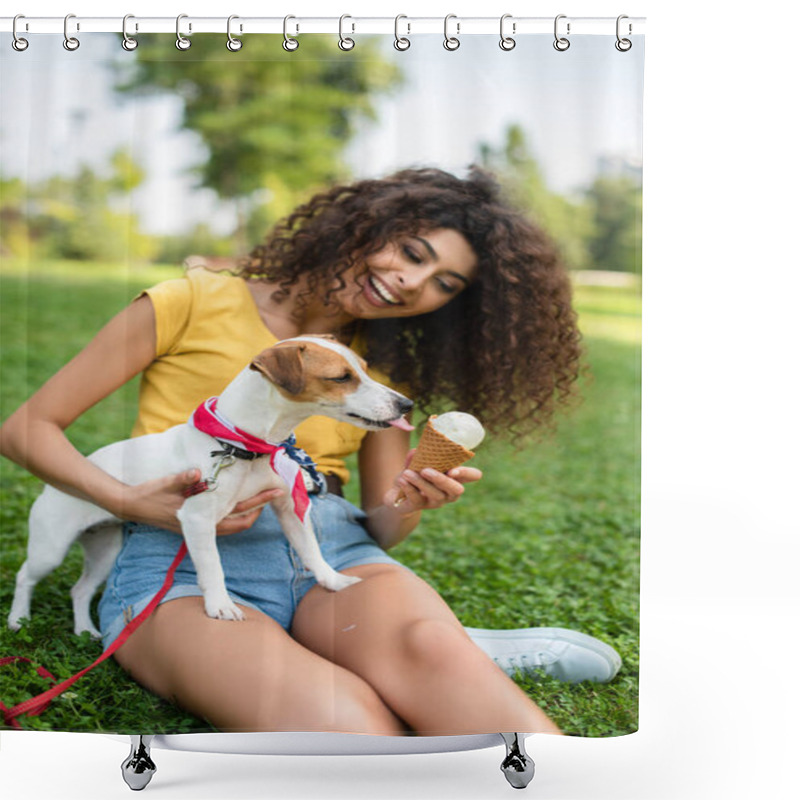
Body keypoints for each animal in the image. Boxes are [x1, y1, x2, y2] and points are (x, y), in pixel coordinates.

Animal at [7, 336, 412, 636]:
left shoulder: (288, 508)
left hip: (105, 548)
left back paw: (84, 629)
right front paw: (220, 605)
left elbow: (311, 550)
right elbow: (213, 567)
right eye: (341, 377)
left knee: (80, 589)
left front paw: (332, 580)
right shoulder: (199, 521)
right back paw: (18, 618)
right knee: (26, 575)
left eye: (363, 369)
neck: (245, 446)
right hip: (51, 547)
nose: (406, 403)